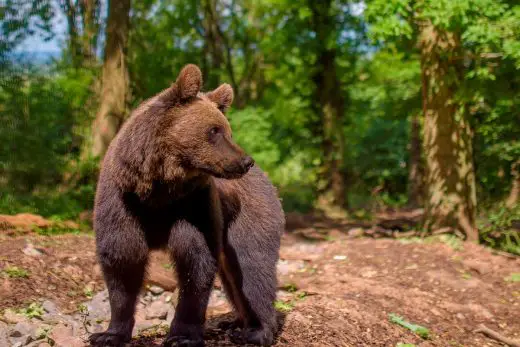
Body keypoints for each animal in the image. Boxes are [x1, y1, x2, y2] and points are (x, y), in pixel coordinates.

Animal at [89, 65, 284, 347]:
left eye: (226, 130)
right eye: (214, 130)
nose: (246, 161)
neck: (157, 187)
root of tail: (267, 180)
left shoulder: (193, 204)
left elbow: (195, 260)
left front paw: (182, 335)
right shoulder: (123, 202)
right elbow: (122, 261)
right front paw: (109, 333)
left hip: (252, 214)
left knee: (252, 267)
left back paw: (257, 330)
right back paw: (236, 321)